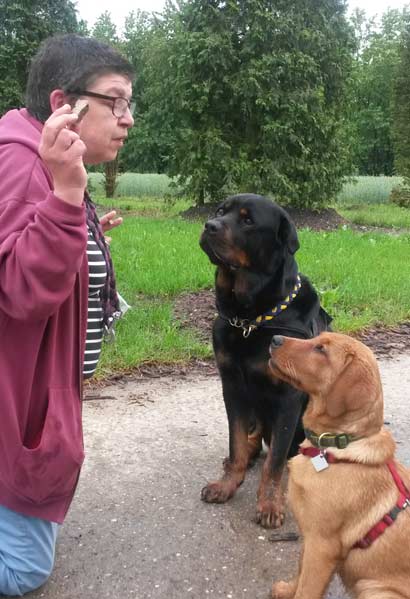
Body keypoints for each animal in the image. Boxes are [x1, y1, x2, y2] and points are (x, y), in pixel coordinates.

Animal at [199, 193, 331, 528]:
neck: (251, 318)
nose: (209, 225)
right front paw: (227, 483)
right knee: (254, 436)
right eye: (221, 211)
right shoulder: (232, 386)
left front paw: (270, 503)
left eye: (247, 220)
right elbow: (235, 441)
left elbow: (275, 462)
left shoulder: (288, 398)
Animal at [269, 332, 410, 599]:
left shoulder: (322, 546)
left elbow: (307, 589)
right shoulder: (310, 540)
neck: (332, 450)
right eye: (315, 338)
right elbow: (300, 572)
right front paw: (287, 590)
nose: (274, 339)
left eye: (321, 350)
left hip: (374, 589)